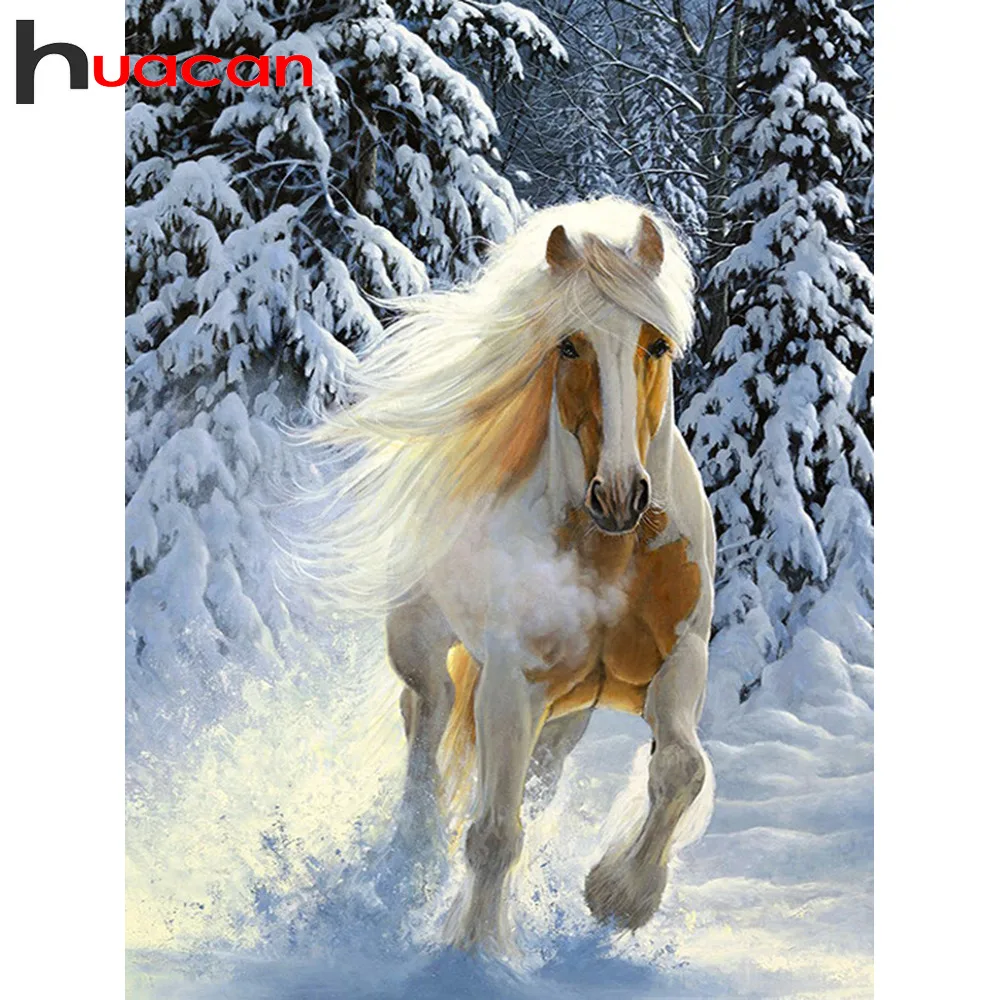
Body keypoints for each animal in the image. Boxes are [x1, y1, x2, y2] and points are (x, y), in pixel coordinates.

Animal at [303, 196, 716, 952]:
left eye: (656, 345)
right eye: (569, 345)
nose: (620, 496)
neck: (610, 555)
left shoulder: (681, 656)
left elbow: (680, 769)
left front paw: (620, 895)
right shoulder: (510, 678)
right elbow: (493, 834)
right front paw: (475, 951)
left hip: (566, 710)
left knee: (528, 771)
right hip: (423, 641)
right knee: (426, 713)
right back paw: (413, 852)